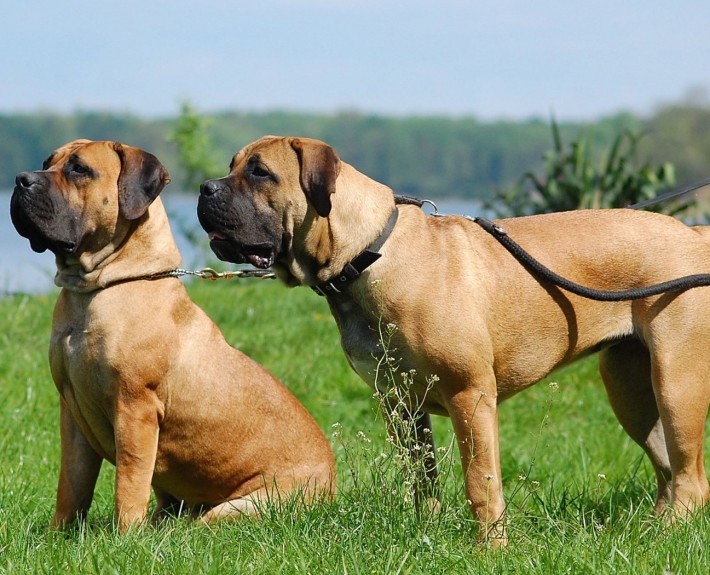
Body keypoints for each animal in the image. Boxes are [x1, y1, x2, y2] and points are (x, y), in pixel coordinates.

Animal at [9, 138, 336, 532]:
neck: (95, 290)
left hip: (240, 506)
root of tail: (333, 484)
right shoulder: (72, 415)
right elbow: (72, 485)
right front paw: (61, 533)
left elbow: (129, 482)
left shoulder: (135, 409)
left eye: (79, 169)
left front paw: (125, 536)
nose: (21, 179)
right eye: (47, 163)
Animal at [197, 135, 710, 544]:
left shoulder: (470, 394)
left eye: (260, 172)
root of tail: (694, 233)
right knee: (667, 467)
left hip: (676, 381)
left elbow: (480, 481)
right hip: (629, 385)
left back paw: (667, 534)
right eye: (231, 166)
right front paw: (428, 527)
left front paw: (491, 547)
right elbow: (423, 478)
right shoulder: (400, 402)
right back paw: (650, 528)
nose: (205, 188)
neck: (368, 255)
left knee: (690, 476)